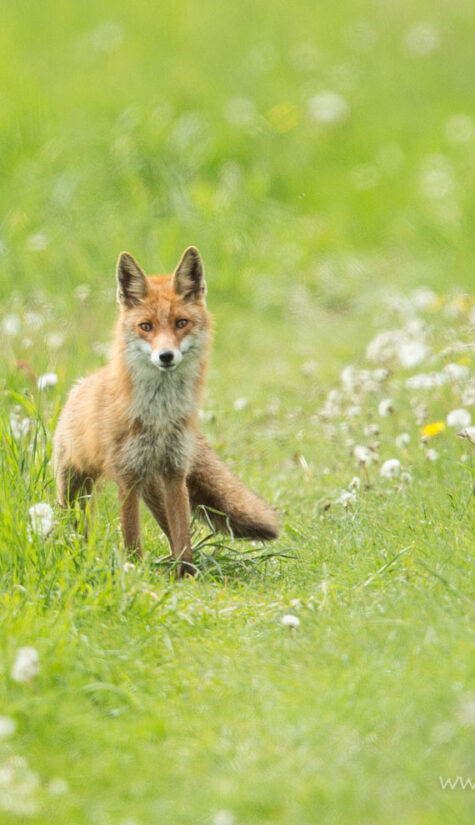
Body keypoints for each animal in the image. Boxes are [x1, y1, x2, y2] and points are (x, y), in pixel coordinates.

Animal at [53, 246, 279, 576]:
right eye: (146, 326)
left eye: (181, 323)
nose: (166, 356)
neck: (159, 417)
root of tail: (80, 385)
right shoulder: (127, 476)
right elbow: (132, 537)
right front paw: (134, 573)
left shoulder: (175, 471)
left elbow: (182, 534)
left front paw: (187, 576)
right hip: (74, 489)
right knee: (75, 524)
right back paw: (78, 552)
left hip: (154, 488)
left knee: (170, 531)